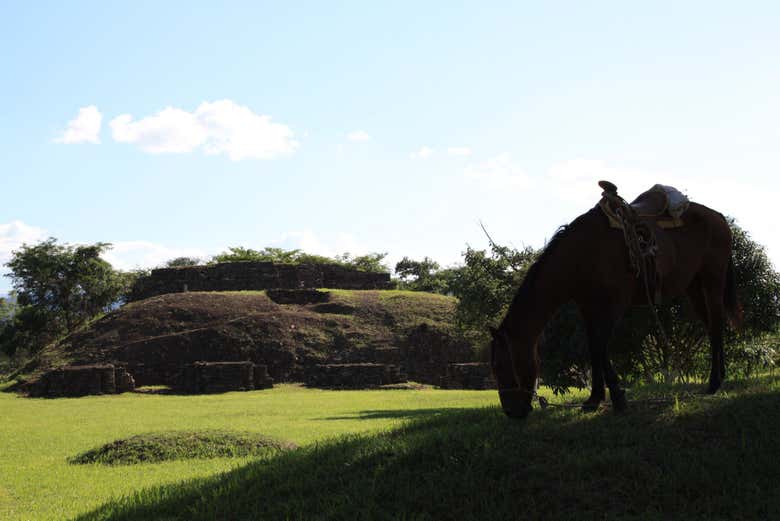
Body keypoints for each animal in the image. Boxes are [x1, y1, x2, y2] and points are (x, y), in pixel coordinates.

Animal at [489, 181, 742, 418]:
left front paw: (618, 397)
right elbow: (593, 349)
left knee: (716, 323)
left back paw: (714, 383)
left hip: (712, 280)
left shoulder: (613, 306)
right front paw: (594, 398)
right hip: (694, 287)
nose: (511, 413)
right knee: (712, 325)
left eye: (502, 366)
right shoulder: (588, 308)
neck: (583, 254)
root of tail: (718, 217)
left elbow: (600, 348)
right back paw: (720, 377)